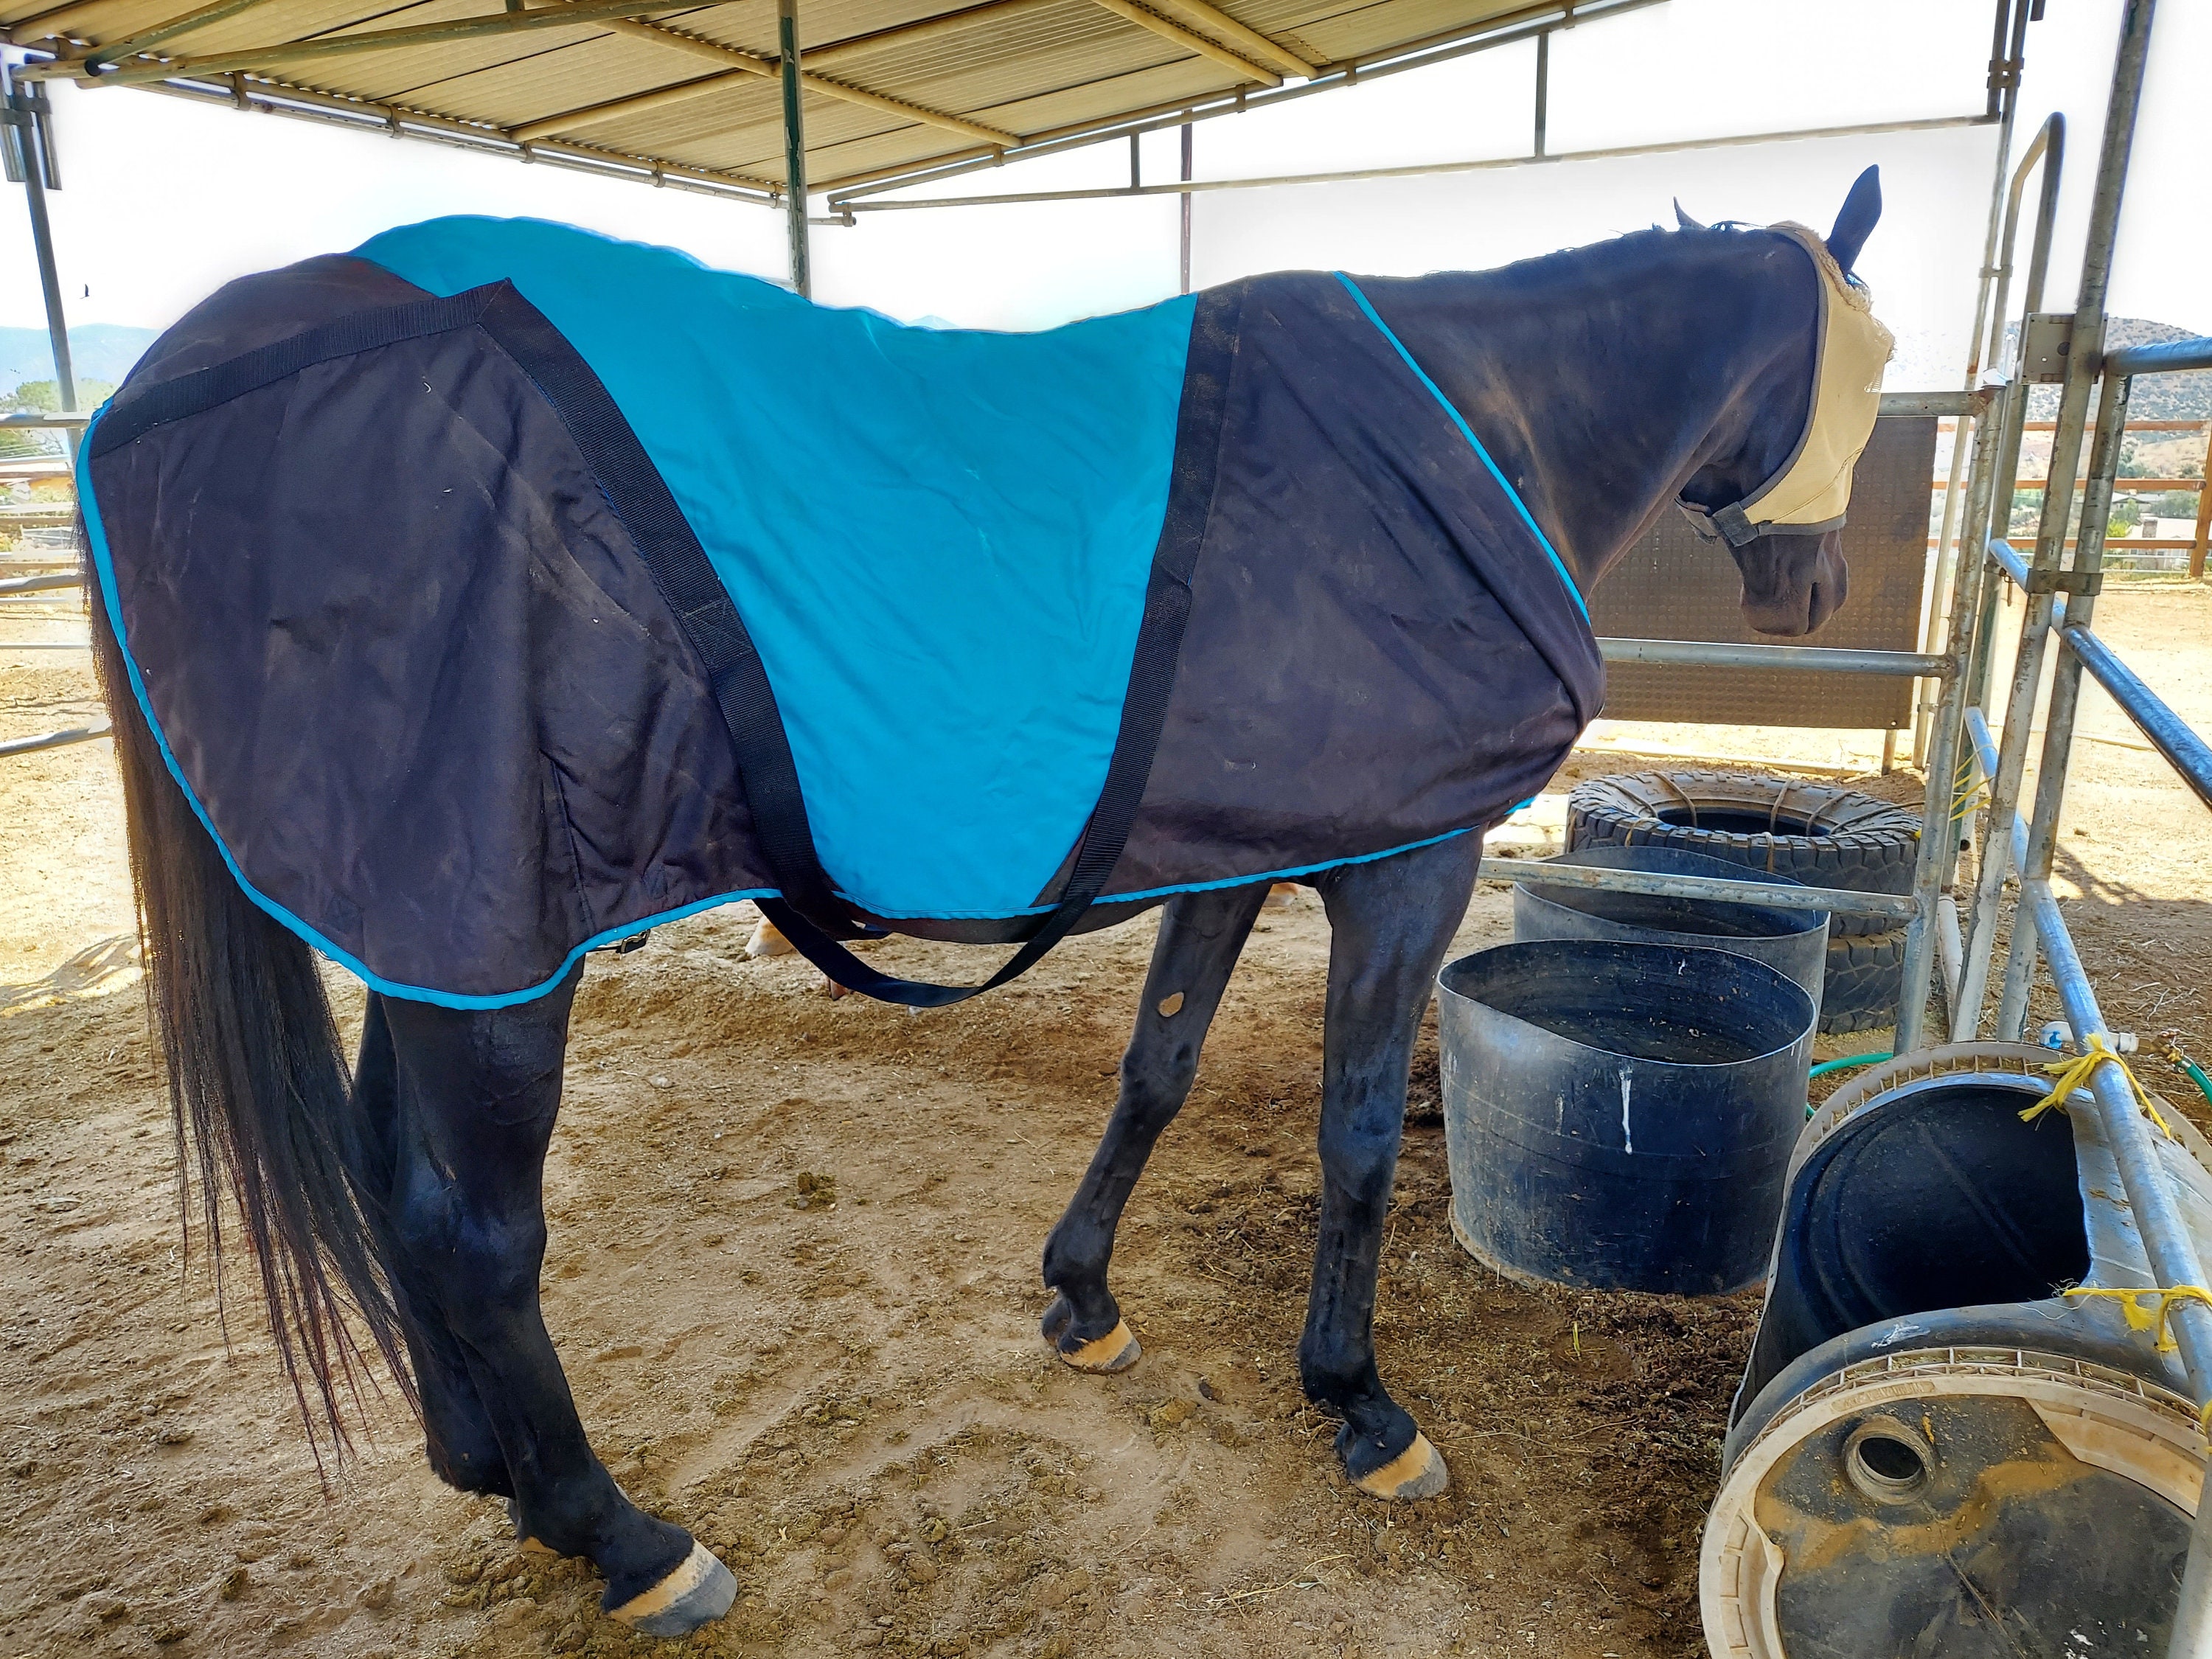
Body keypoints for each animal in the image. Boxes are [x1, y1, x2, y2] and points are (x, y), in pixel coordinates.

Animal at [84, 169, 1886, 1638]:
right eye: (1869, 362)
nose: (1814, 595)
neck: (1480, 420)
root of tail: (175, 379)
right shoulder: (1406, 867)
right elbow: (1361, 1135)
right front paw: (1362, 1408)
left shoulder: (1230, 858)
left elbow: (1157, 1067)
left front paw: (1082, 1301)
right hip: (500, 955)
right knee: (476, 1238)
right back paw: (625, 1540)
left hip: (449, 953)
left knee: (394, 1183)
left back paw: (487, 1468)